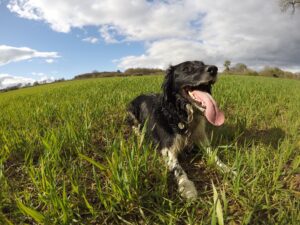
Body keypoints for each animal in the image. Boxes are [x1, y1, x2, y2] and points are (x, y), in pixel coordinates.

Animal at [126, 60, 230, 200]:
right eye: (186, 69)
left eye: (202, 63)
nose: (214, 69)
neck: (179, 113)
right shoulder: (167, 149)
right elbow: (178, 168)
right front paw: (187, 187)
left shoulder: (201, 138)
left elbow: (213, 154)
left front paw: (226, 168)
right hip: (131, 111)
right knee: (134, 127)